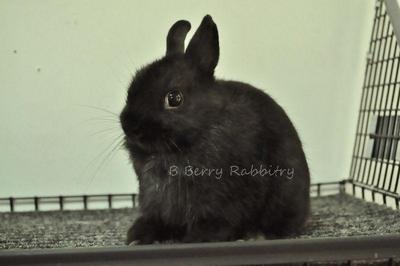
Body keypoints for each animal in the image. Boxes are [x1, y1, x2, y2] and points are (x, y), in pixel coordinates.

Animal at [119, 14, 310, 243]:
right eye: (131, 88)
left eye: (174, 98)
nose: (129, 125)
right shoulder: (155, 200)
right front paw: (138, 236)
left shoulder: (226, 198)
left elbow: (218, 222)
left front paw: (197, 238)